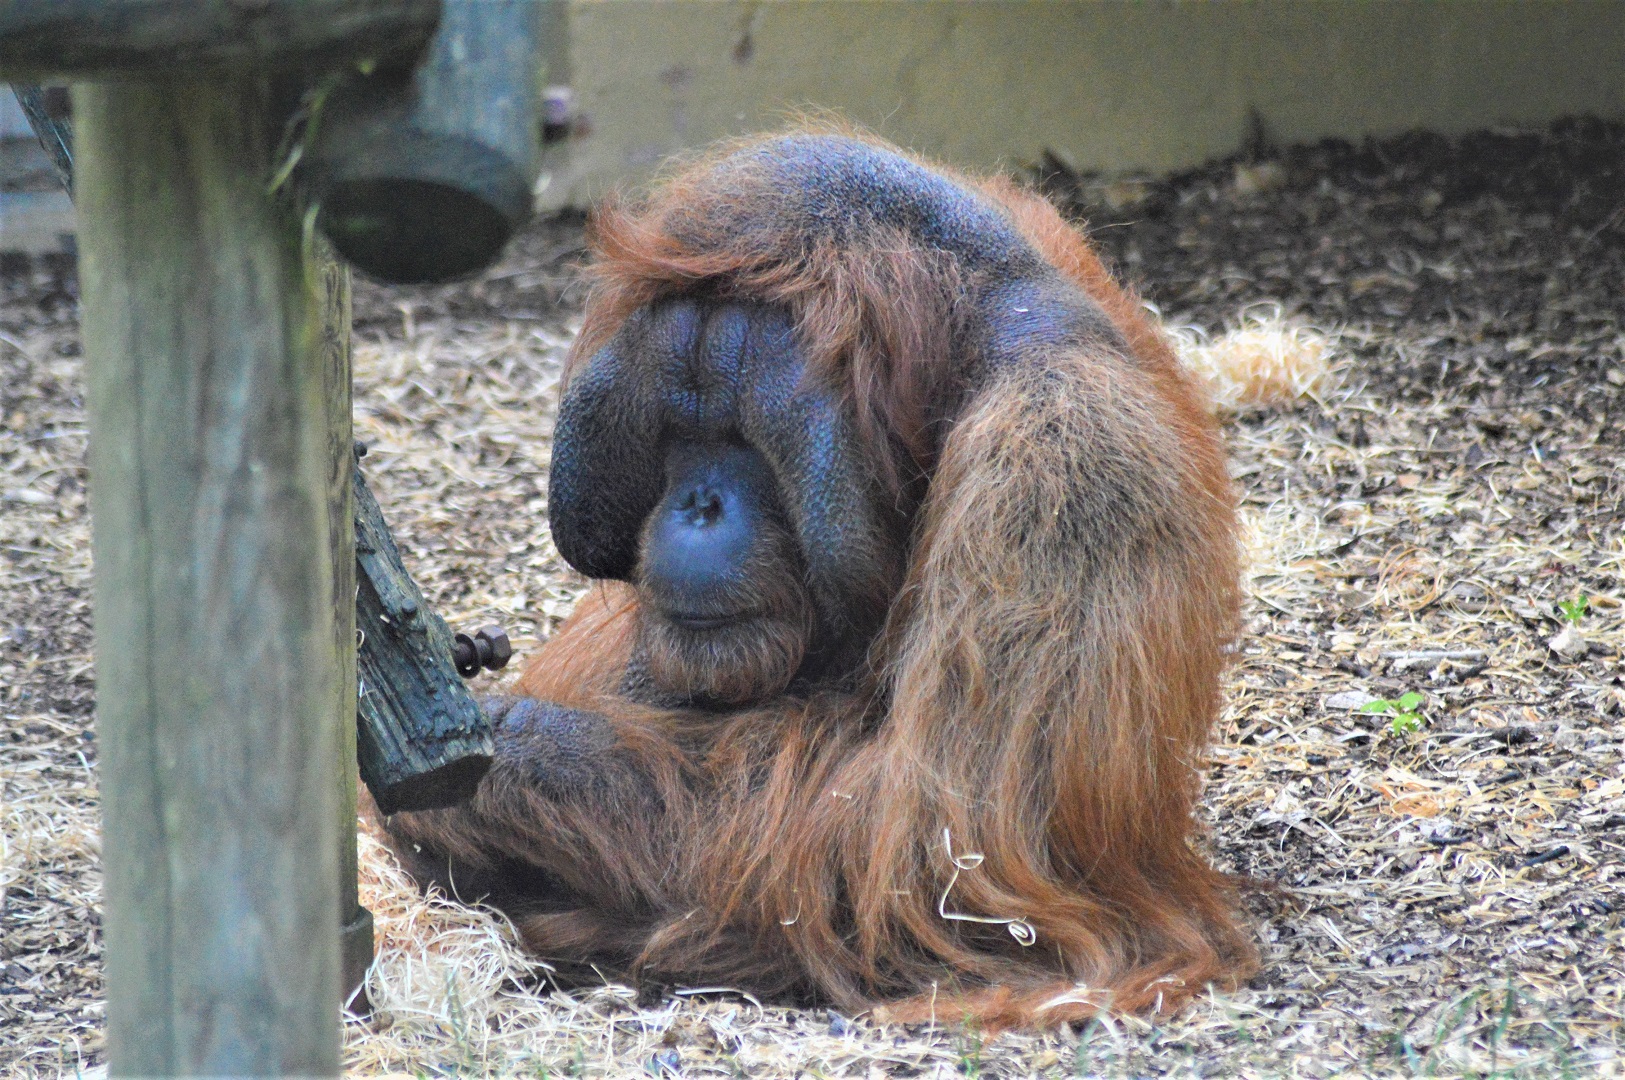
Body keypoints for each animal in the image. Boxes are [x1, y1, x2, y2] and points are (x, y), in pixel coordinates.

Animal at [381, 127, 1256, 1028]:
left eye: (742, 441)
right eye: (675, 436)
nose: (698, 505)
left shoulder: (1064, 459)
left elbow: (933, 847)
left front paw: (510, 747)